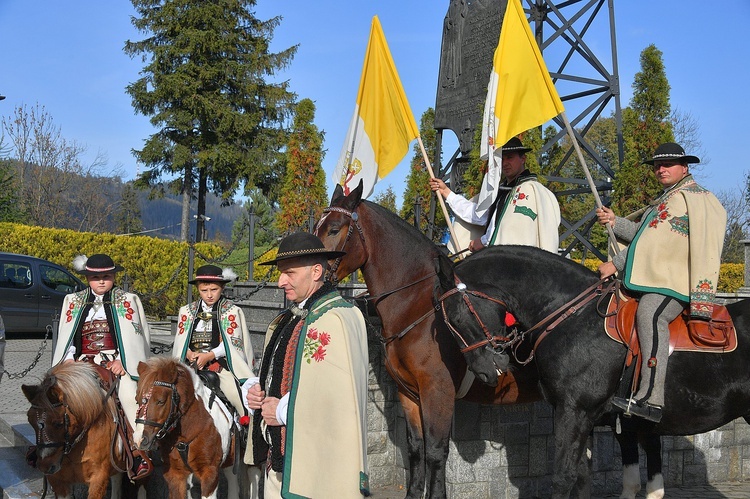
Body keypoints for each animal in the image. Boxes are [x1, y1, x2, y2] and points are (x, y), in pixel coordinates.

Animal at [318, 185, 548, 499]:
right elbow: (416, 447)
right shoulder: (409, 392)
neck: (417, 308)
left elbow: (436, 452)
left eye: (333, 229)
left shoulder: (437, 392)